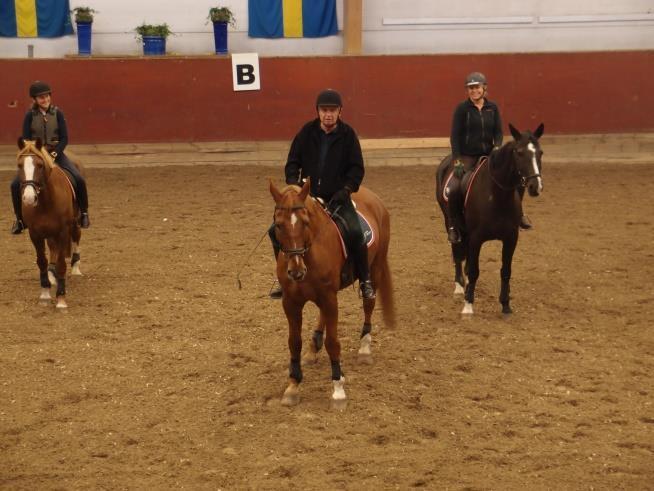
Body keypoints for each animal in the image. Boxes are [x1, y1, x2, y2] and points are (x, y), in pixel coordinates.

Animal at [16, 137, 83, 308]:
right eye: (19, 165)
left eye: (40, 165)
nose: (29, 198)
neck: (46, 201)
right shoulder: (35, 233)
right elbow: (42, 261)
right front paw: (45, 293)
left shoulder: (63, 231)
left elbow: (61, 263)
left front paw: (61, 298)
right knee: (53, 249)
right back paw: (52, 276)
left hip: (75, 222)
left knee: (76, 238)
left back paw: (76, 268)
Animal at [270, 180, 398, 408]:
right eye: (279, 225)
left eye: (305, 222)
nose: (295, 271)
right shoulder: (291, 302)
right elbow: (294, 342)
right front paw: (293, 385)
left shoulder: (329, 298)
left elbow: (333, 342)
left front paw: (338, 388)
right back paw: (313, 348)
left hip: (375, 268)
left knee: (369, 304)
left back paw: (364, 348)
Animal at [438, 123, 544, 316]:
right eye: (519, 152)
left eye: (540, 153)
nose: (535, 187)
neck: (497, 195)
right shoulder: (476, 238)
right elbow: (474, 270)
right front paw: (468, 305)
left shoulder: (511, 238)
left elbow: (506, 271)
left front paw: (505, 305)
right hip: (450, 222)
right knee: (457, 251)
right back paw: (459, 287)